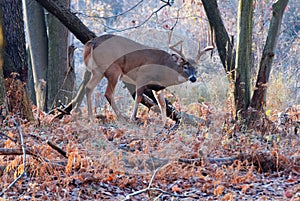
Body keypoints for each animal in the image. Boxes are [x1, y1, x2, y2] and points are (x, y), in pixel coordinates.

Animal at [83, 33, 212, 122]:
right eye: (185, 66)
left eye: (196, 68)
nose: (193, 78)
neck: (163, 69)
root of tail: (92, 42)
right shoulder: (142, 76)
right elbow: (138, 98)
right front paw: (133, 118)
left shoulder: (158, 88)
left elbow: (162, 104)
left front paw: (165, 123)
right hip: (113, 69)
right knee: (108, 93)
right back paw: (122, 118)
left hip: (98, 71)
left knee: (89, 87)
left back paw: (91, 118)